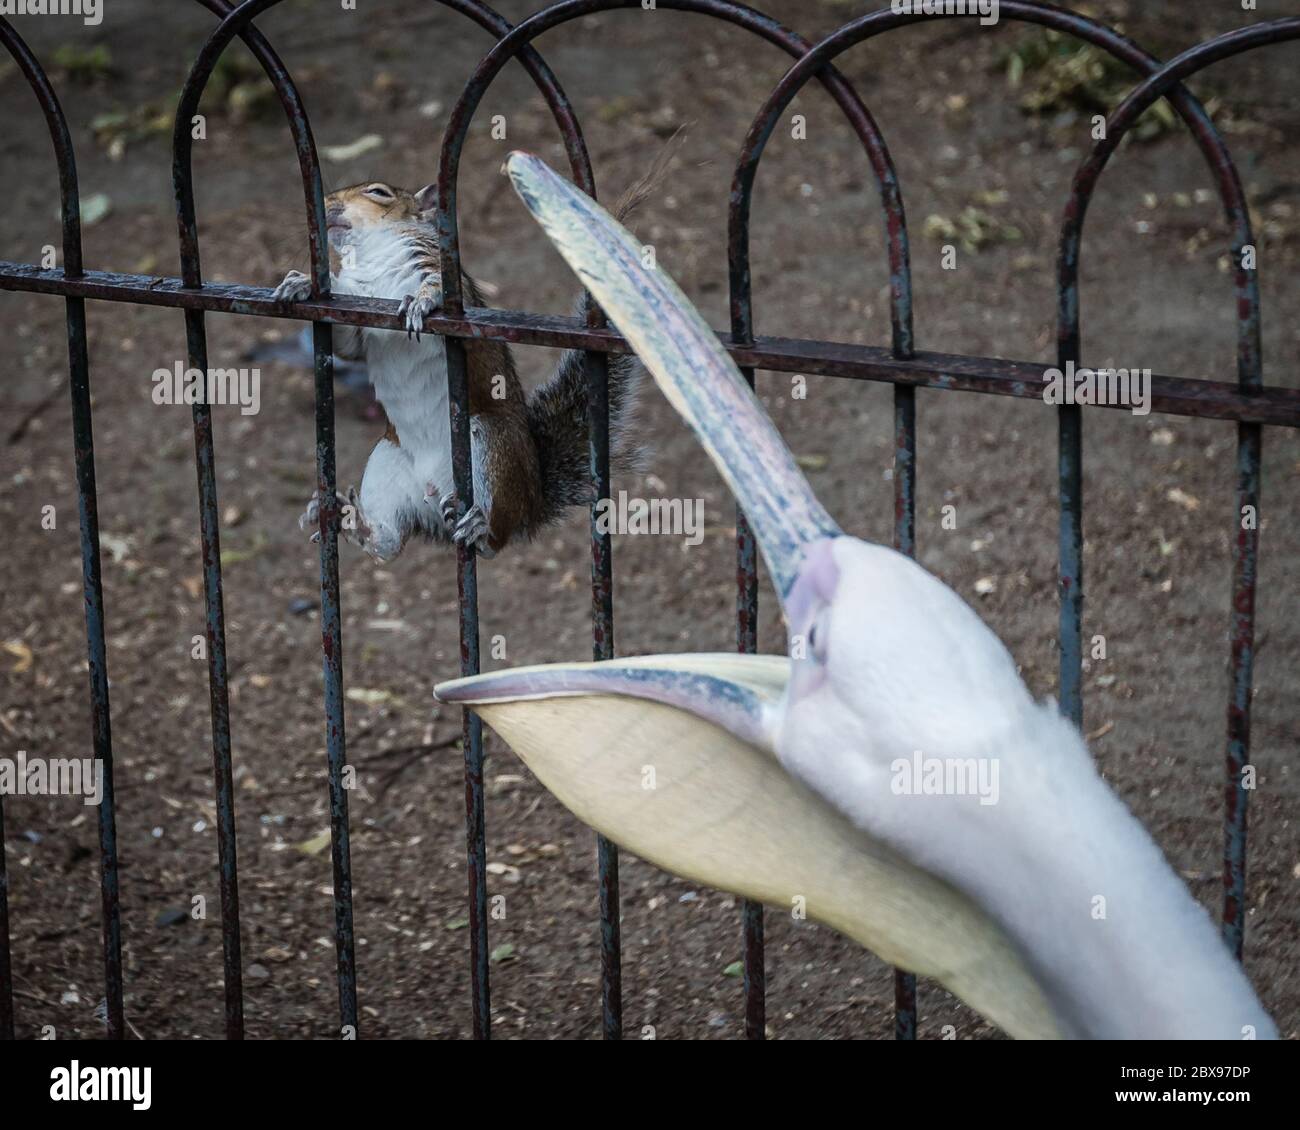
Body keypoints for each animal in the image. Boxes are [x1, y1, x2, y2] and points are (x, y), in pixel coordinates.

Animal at [271, 160, 666, 560]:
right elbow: (347, 343)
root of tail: (532, 502)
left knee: (493, 542)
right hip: (387, 463)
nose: (325, 203)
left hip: (492, 444)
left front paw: (421, 301)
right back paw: (351, 520)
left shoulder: (441, 275)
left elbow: (436, 292)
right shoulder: (358, 312)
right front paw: (301, 284)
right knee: (388, 543)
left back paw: (480, 528)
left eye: (378, 192)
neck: (373, 256)